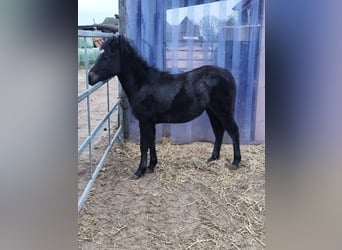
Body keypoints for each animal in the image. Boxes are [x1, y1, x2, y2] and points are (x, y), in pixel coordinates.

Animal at [89, 35, 242, 180]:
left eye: (106, 57)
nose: (90, 77)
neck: (143, 84)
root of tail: (227, 74)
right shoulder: (150, 122)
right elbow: (151, 141)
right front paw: (151, 166)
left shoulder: (144, 121)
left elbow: (144, 145)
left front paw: (139, 171)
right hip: (212, 111)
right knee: (219, 132)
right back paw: (213, 158)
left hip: (223, 111)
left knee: (233, 131)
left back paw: (235, 162)